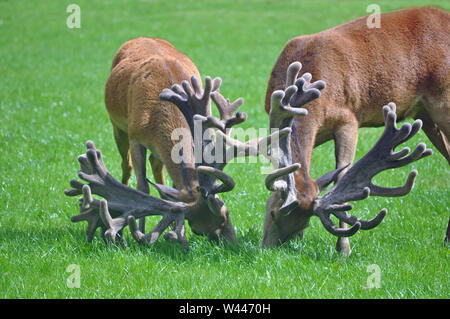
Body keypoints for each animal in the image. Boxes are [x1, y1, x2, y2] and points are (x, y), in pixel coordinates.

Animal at [264, 6, 446, 256]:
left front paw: (344, 248)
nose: (268, 249)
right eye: (271, 212)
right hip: (426, 116)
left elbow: (342, 174)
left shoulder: (349, 119)